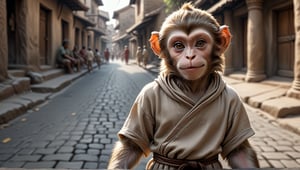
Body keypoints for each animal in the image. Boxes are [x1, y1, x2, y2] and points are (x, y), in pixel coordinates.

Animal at [108, 2, 260, 170]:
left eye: (200, 43)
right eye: (178, 45)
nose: (190, 56)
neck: (192, 86)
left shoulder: (235, 100)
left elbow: (239, 152)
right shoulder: (145, 97)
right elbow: (131, 147)